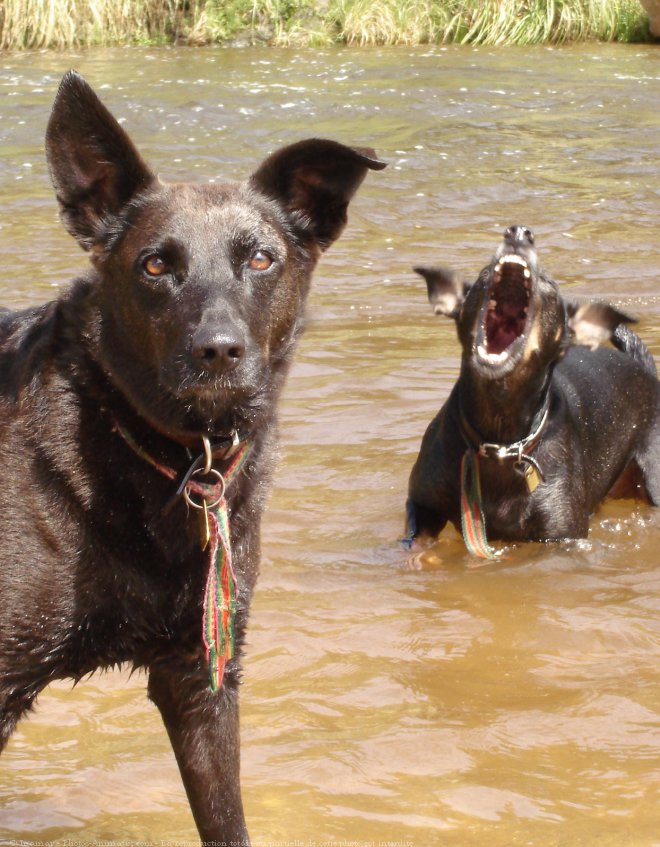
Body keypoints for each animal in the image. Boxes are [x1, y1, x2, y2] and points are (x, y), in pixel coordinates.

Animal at [404, 225, 656, 556]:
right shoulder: (421, 501)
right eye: (484, 273)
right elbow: (417, 540)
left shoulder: (562, 536)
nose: (519, 233)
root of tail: (648, 372)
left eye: (549, 284)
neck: (499, 442)